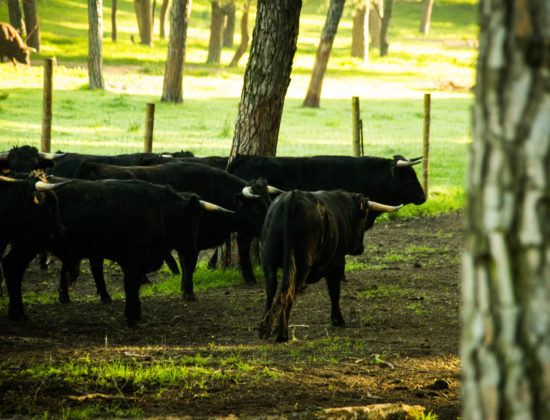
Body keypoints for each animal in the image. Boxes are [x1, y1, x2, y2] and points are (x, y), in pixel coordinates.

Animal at [2, 177, 226, 324]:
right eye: (193, 219)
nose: (193, 248)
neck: (160, 209)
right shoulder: (135, 256)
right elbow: (130, 285)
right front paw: (132, 316)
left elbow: (134, 286)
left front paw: (136, 312)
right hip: (28, 242)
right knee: (12, 266)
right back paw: (18, 313)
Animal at [75, 161, 282, 298]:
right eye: (257, 209)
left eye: (269, 203)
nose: (271, 225)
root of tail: (92, 166)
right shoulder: (191, 240)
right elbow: (189, 264)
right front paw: (188, 291)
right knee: (96, 263)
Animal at [258, 189, 406, 342]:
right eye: (364, 218)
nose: (361, 248)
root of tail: (293, 197)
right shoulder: (336, 265)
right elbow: (334, 292)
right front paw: (337, 320)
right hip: (301, 264)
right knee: (288, 292)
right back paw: (282, 333)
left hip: (268, 261)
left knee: (271, 290)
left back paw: (264, 329)